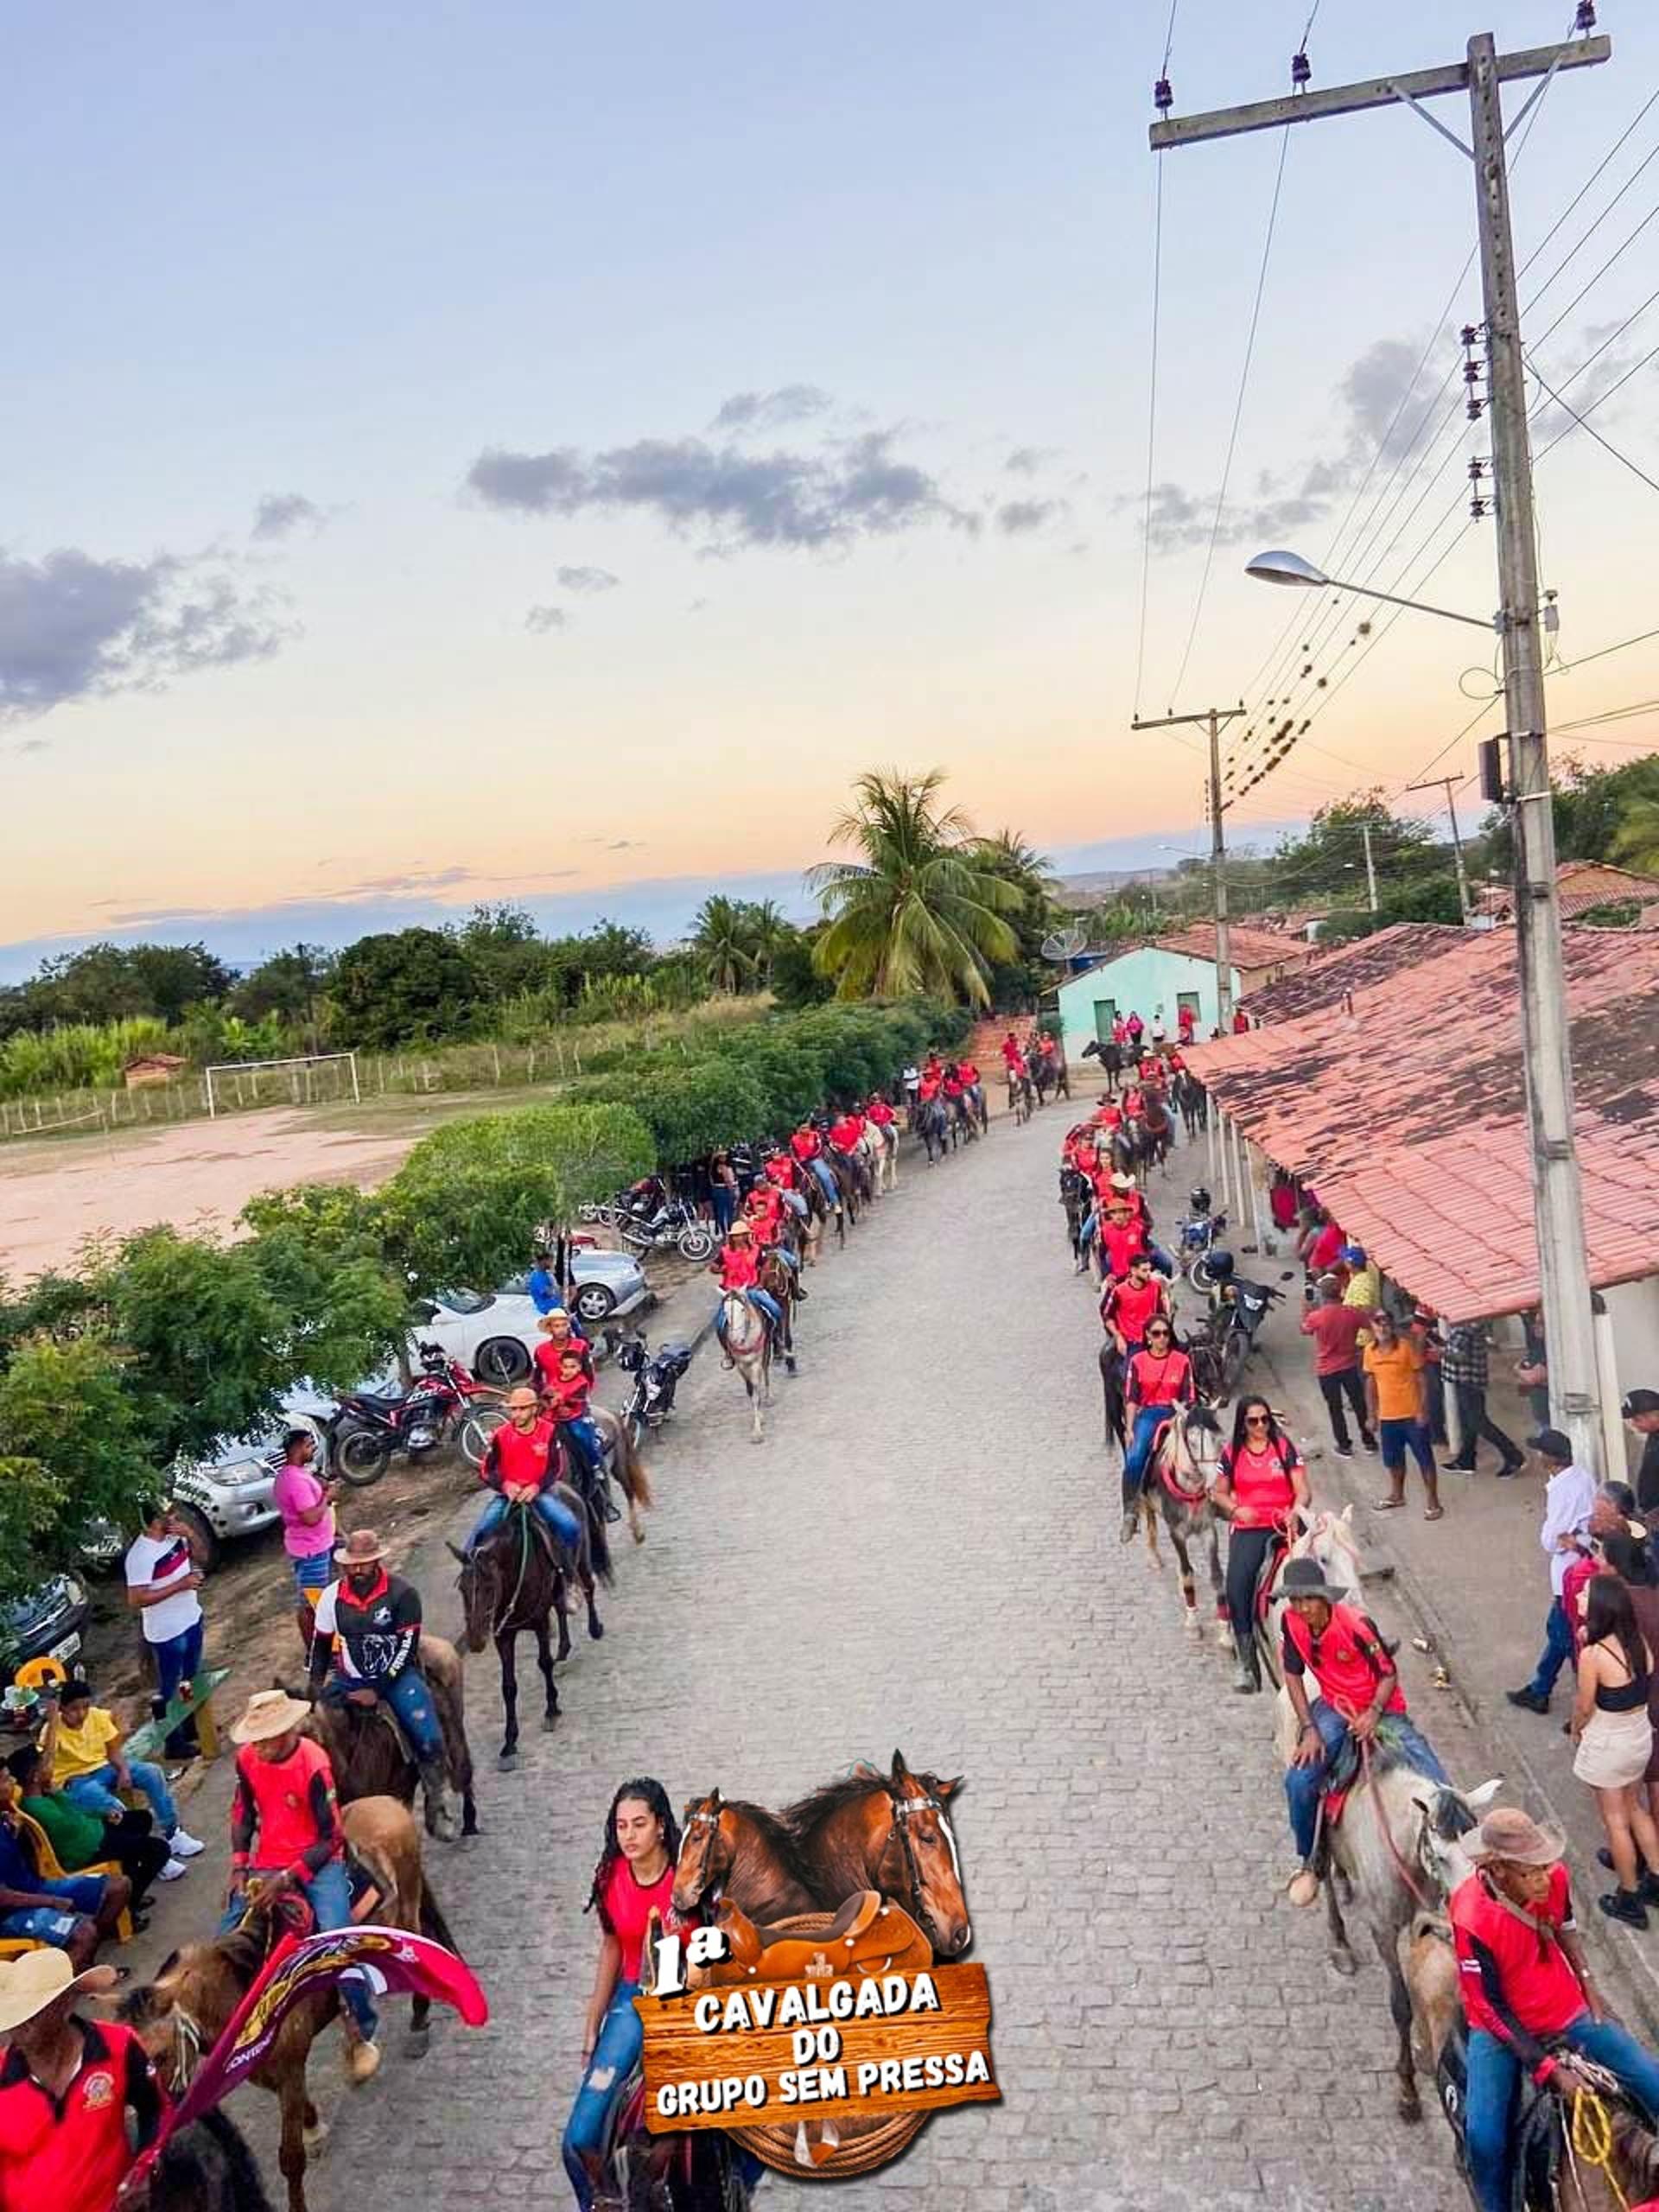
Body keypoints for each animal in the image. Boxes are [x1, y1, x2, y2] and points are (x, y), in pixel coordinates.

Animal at [124, 1796, 456, 2212]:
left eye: (160, 2055)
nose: (150, 2139)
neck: (242, 1990)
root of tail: (386, 1802)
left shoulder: (290, 2066)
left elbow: (290, 2157)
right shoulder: (267, 2071)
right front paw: (315, 2127)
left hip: (407, 1904)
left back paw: (417, 2021)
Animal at [719, 1291, 772, 1442]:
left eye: (742, 1309)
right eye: (725, 1311)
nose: (736, 1339)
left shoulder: (756, 1362)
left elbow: (756, 1393)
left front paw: (757, 1432)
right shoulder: (741, 1365)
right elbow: (750, 1391)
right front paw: (759, 1417)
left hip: (766, 1350)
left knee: (766, 1370)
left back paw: (769, 1397)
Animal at [1135, 1403, 1230, 1650]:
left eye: (1219, 1439)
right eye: (1193, 1441)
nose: (1214, 1485)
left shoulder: (1207, 1530)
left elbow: (1217, 1576)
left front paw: (1225, 1631)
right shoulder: (1177, 1532)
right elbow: (1188, 1575)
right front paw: (1193, 1625)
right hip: (1146, 1502)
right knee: (1151, 1529)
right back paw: (1154, 1557)